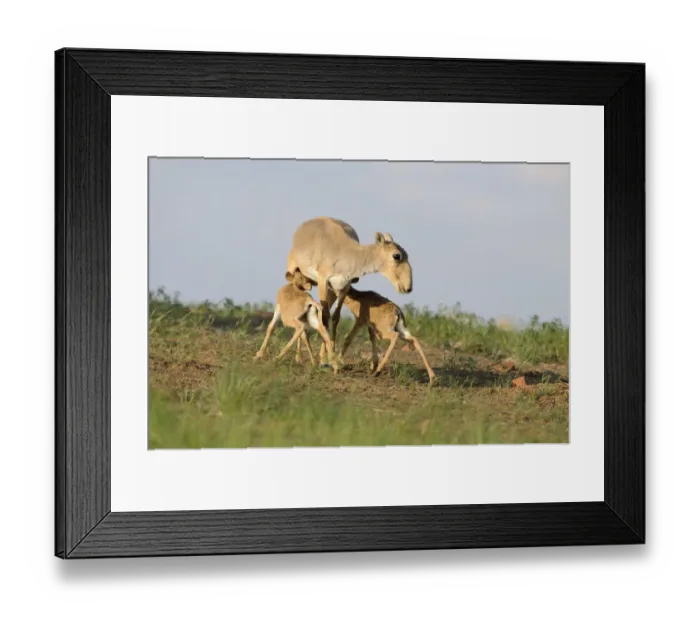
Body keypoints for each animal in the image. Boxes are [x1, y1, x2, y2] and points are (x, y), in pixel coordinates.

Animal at [285, 217, 413, 362]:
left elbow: (335, 318)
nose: (408, 287)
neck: (344, 253)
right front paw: (326, 358)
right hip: (296, 275)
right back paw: (298, 356)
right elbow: (324, 318)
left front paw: (329, 356)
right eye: (396, 256)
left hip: (329, 290)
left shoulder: (343, 287)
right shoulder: (323, 281)